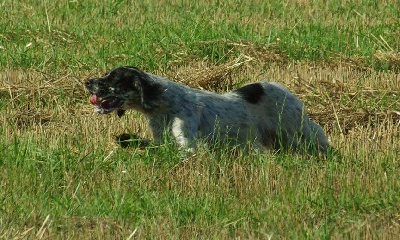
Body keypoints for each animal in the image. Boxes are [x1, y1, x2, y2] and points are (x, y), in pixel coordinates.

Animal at [84, 66, 332, 156]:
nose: (87, 81)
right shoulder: (161, 139)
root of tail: (285, 89)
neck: (163, 105)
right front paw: (125, 139)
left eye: (112, 78)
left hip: (298, 132)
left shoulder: (189, 144)